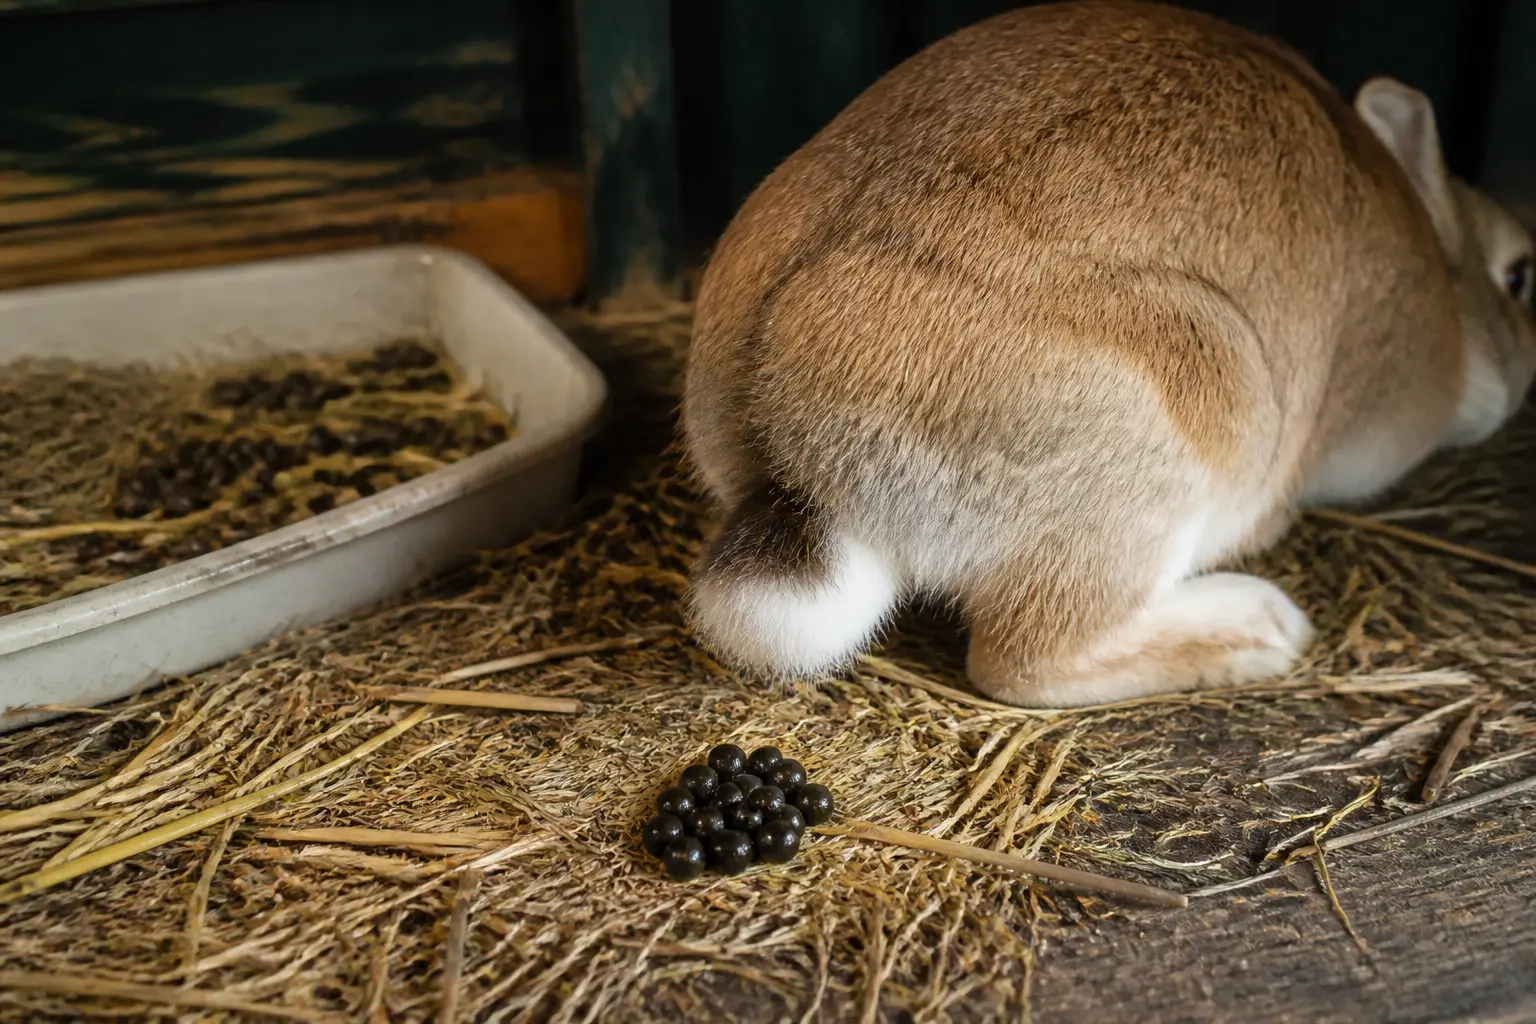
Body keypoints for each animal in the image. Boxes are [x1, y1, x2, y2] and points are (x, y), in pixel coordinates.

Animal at [680, 0, 1536, 707]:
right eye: (1522, 275)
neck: (1447, 293)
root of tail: (790, 461)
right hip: (1180, 429)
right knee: (1025, 659)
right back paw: (1260, 627)